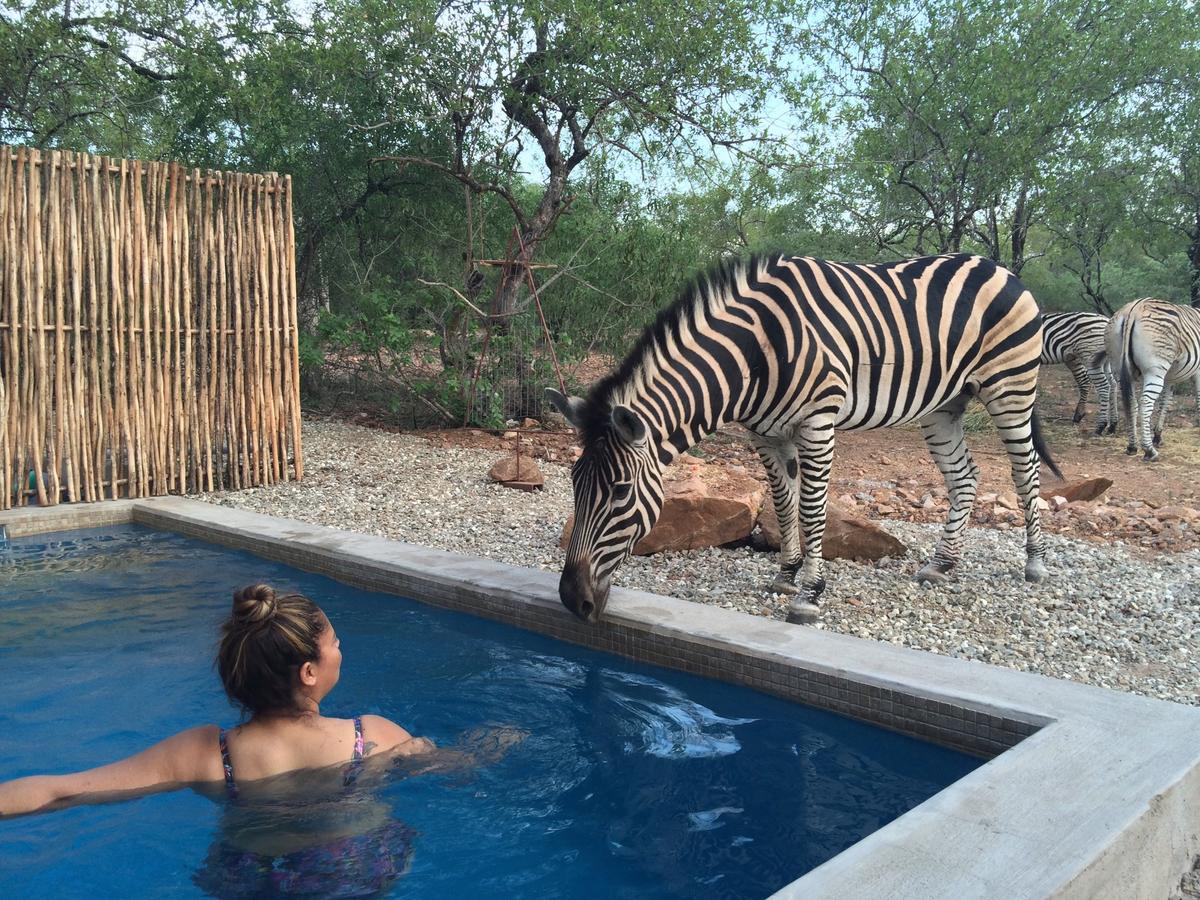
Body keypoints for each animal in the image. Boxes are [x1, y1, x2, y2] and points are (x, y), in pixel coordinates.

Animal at [544, 250, 1060, 624]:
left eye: (619, 492)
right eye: (572, 484)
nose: (571, 599)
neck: (755, 353)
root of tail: (998, 267)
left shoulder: (817, 423)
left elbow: (812, 511)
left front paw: (809, 594)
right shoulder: (766, 434)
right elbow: (784, 503)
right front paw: (786, 574)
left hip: (1011, 385)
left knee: (1026, 472)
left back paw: (1034, 564)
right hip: (944, 404)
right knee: (964, 477)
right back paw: (942, 564)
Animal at [1104, 300, 1200, 460]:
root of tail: (1133, 310)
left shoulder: (1170, 378)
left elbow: (1165, 403)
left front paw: (1158, 435)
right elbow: (1198, 400)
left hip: (1118, 365)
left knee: (1130, 402)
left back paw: (1132, 446)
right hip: (1155, 369)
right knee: (1145, 402)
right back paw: (1149, 451)